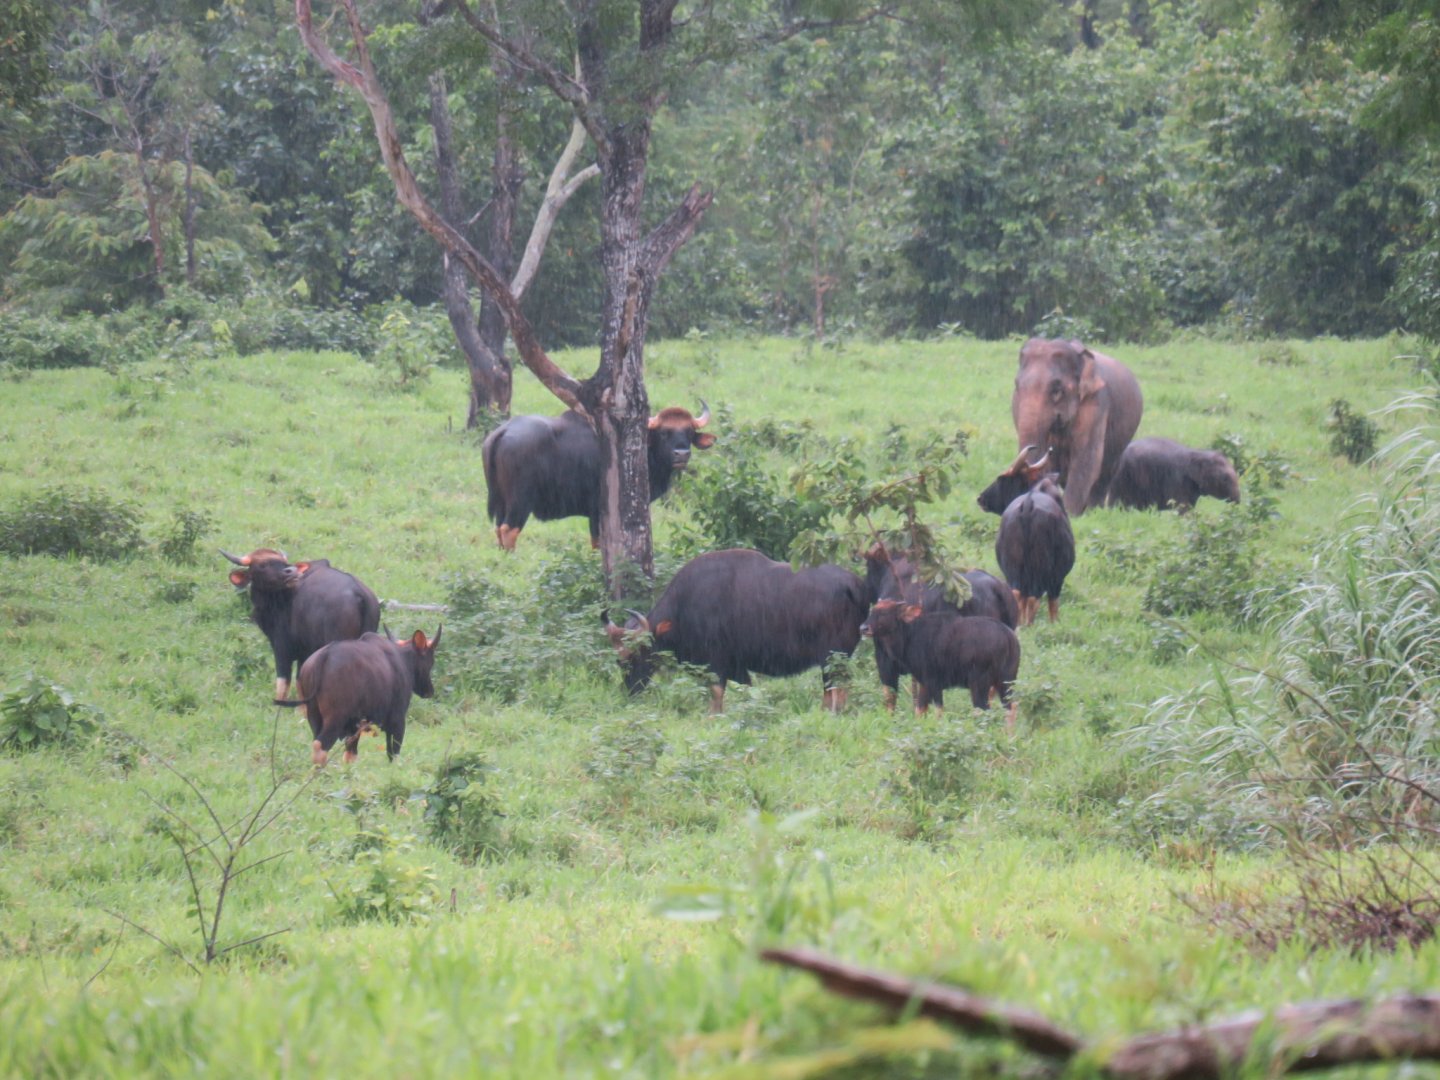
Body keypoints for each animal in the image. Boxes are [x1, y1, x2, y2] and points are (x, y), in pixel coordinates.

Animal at [1011, 338, 1143, 516]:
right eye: (1017, 386)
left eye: (1057, 391)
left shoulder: (1096, 404)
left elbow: (1086, 459)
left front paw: (1070, 513)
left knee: (1105, 475)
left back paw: (1094, 511)